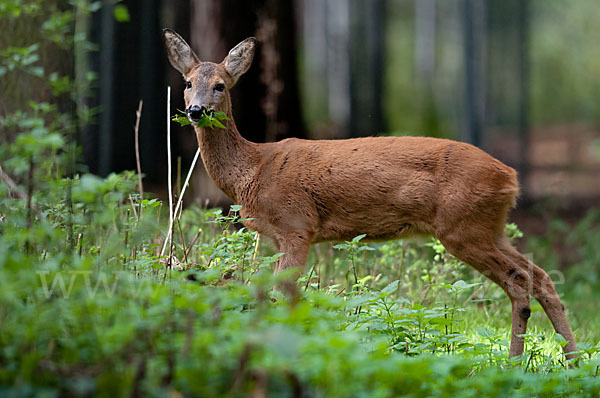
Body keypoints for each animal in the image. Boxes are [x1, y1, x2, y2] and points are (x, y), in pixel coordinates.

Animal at [163, 29, 576, 360]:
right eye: (187, 82)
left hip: (463, 227)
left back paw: (519, 361)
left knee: (519, 280)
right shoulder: (279, 236)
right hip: (490, 227)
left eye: (220, 84)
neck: (254, 169)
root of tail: (511, 176)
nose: (195, 110)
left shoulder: (297, 224)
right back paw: (566, 362)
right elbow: (281, 294)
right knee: (540, 276)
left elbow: (282, 291)